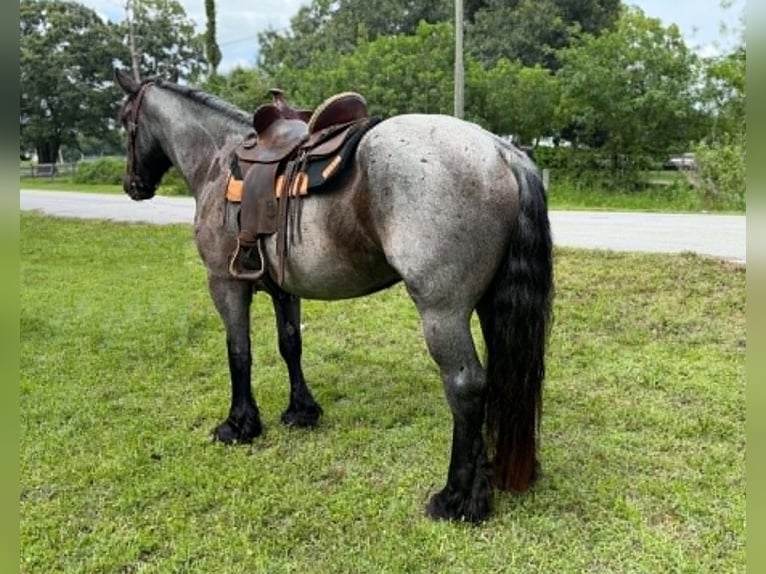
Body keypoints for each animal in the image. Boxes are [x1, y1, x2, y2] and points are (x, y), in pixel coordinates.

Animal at [113, 68, 553, 523]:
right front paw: (301, 411)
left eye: (124, 119)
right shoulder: (284, 289)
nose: (132, 184)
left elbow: (239, 353)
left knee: (467, 388)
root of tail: (500, 150)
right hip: (488, 305)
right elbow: (290, 345)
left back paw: (457, 499)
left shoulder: (224, 283)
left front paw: (239, 425)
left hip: (442, 313)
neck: (219, 158)